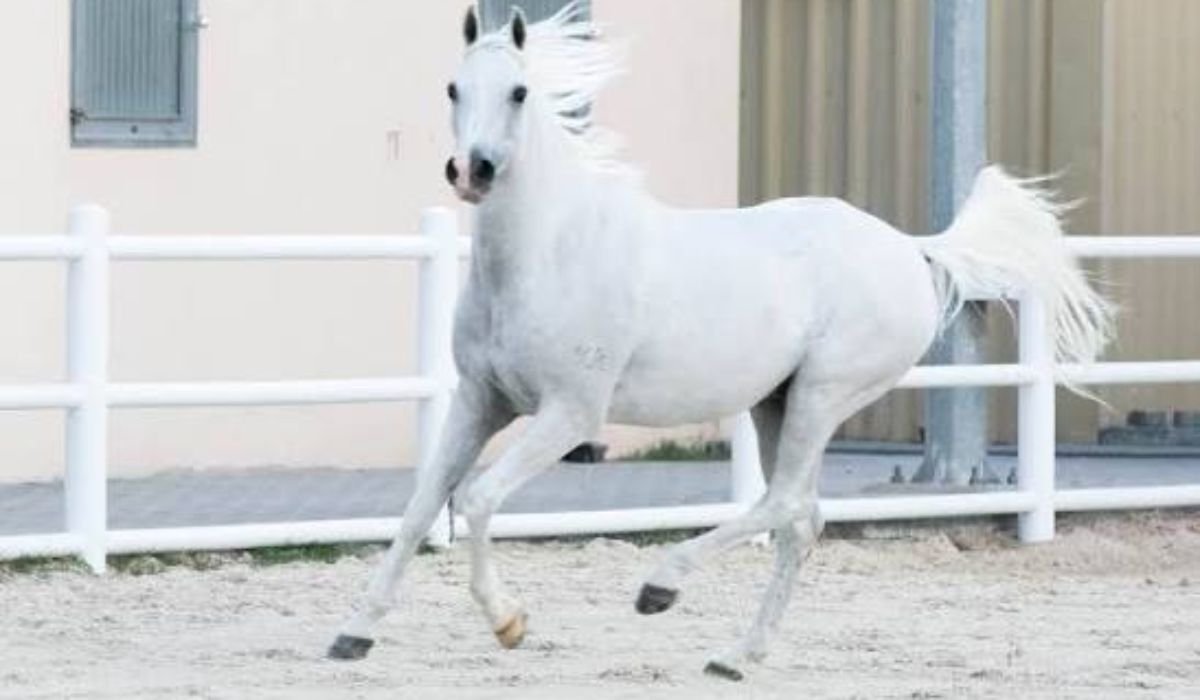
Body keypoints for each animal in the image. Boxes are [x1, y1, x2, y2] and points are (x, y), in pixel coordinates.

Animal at [328, 4, 1113, 680]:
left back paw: (661, 587)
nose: (474, 171)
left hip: (824, 395)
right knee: (802, 519)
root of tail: (912, 249)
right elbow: (422, 507)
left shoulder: (570, 414)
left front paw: (509, 623)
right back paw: (736, 657)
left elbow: (478, 498)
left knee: (783, 505)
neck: (548, 252)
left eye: (519, 91)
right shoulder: (478, 402)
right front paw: (354, 634)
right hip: (776, 403)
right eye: (453, 87)